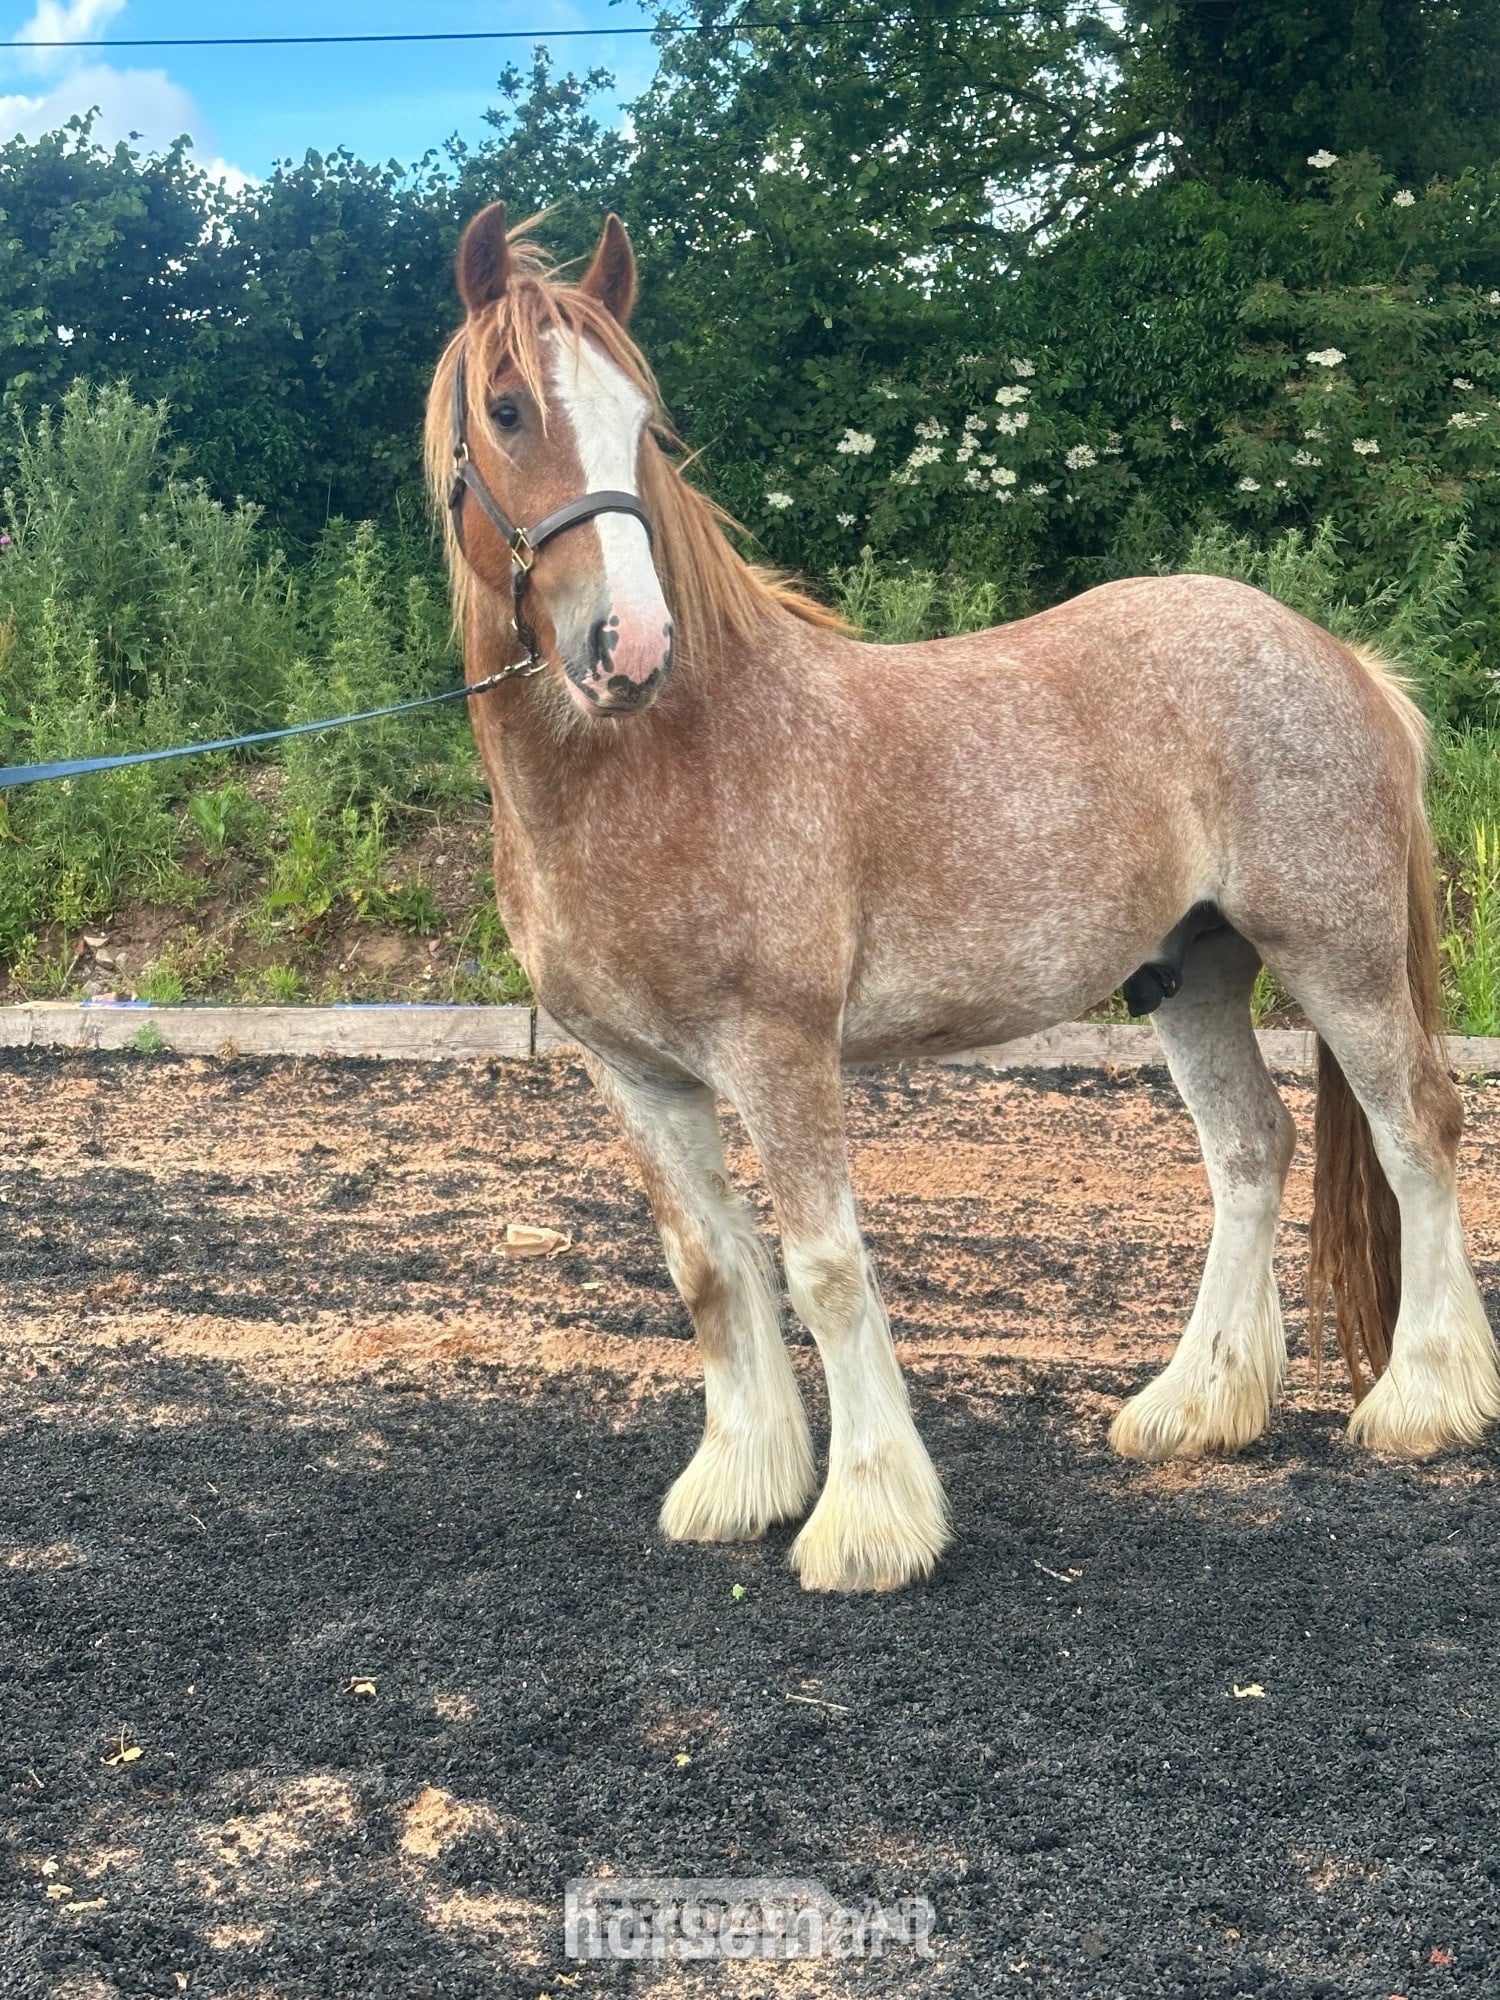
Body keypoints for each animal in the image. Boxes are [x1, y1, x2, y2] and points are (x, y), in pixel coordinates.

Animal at [424, 201, 1500, 1593]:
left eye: (643, 421)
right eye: (506, 408)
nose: (631, 646)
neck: (666, 756)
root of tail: (1342, 659)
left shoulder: (778, 1051)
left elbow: (825, 1268)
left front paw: (867, 1520)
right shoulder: (637, 1074)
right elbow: (710, 1268)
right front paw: (741, 1480)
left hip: (1339, 952)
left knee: (1417, 1125)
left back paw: (1425, 1399)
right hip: (1193, 973)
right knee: (1251, 1150)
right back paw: (1196, 1405)